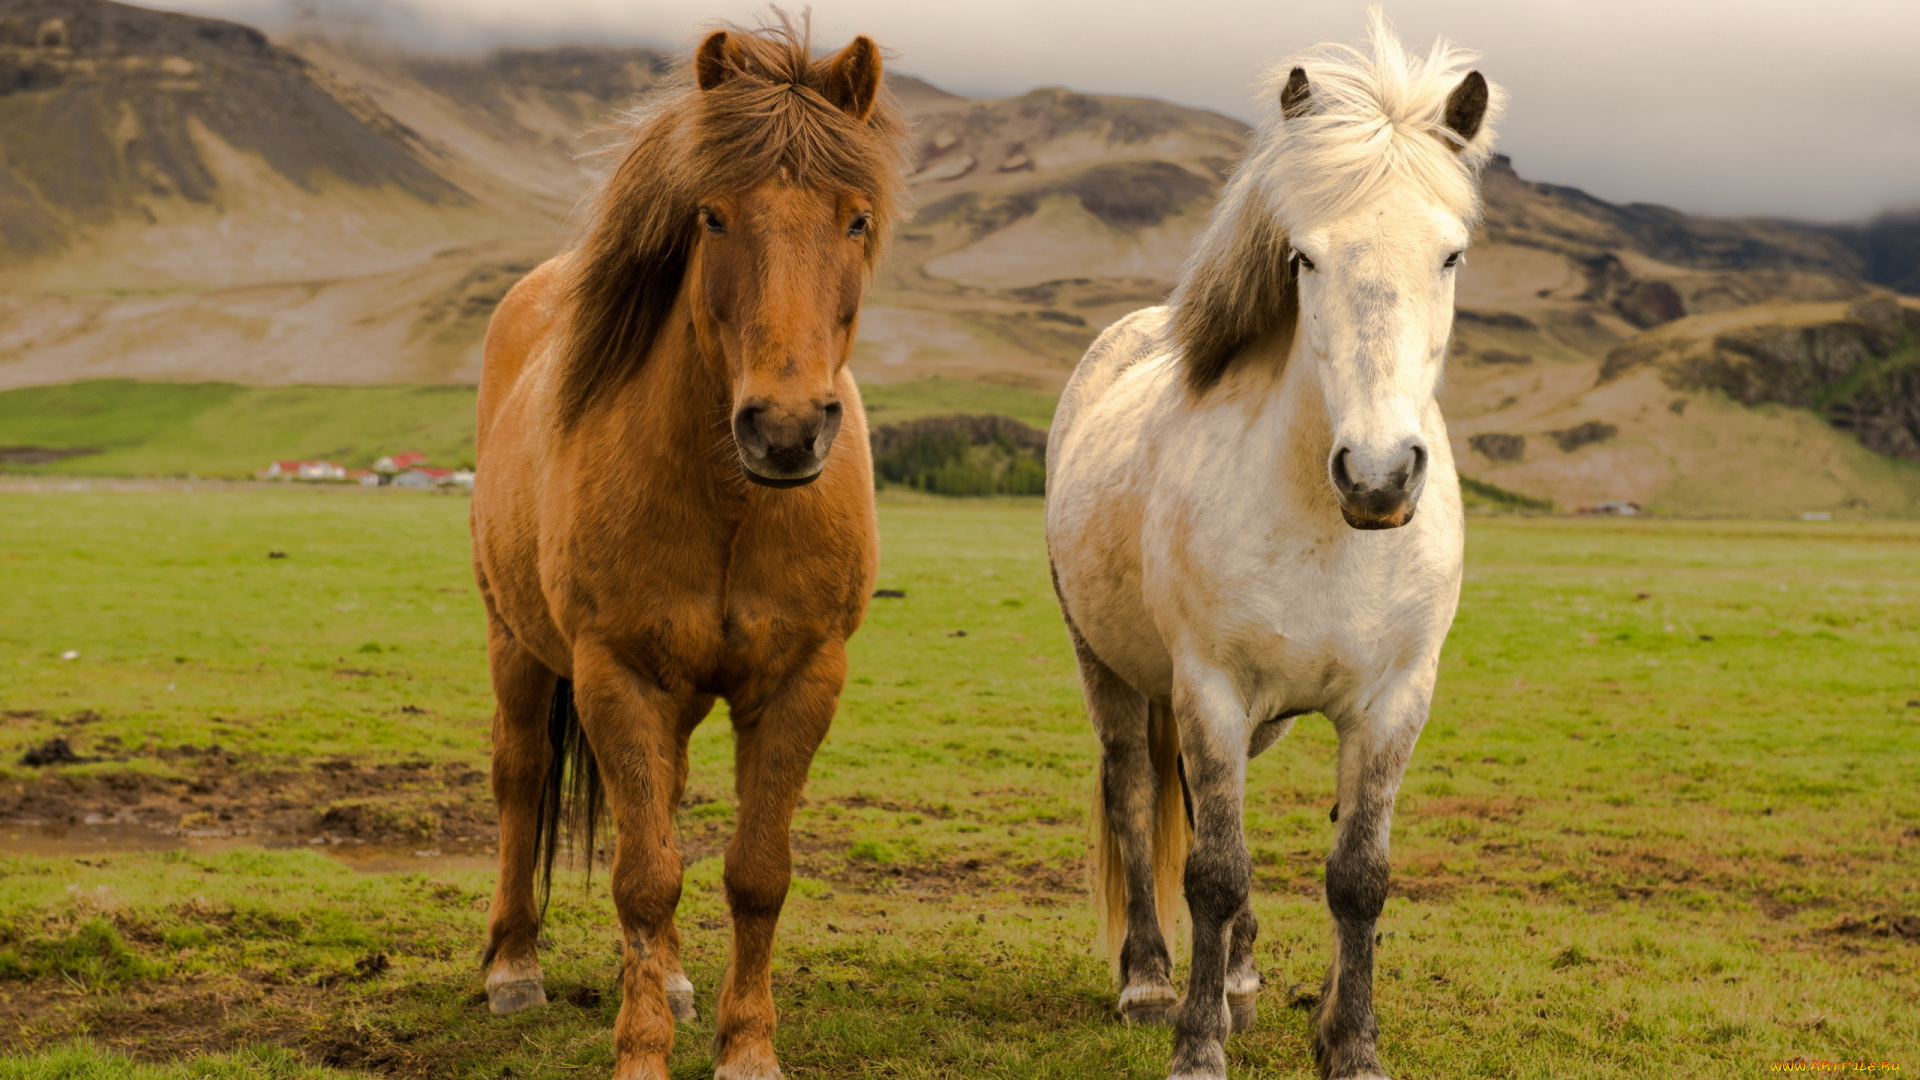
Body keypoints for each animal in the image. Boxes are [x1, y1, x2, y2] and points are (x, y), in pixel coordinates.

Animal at [468, 20, 907, 1080]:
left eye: (857, 220)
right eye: (711, 216)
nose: (785, 429)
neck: (732, 506)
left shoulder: (801, 678)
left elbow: (754, 873)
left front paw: (746, 1046)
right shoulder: (615, 672)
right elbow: (642, 876)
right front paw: (641, 1053)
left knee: (660, 795)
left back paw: (663, 976)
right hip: (516, 642)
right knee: (520, 779)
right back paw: (514, 968)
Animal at [1046, 17, 1501, 1080]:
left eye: (1451, 256)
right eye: (1303, 260)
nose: (1378, 474)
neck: (1330, 533)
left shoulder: (1393, 703)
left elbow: (1359, 875)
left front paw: (1350, 1043)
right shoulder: (1208, 688)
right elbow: (1213, 868)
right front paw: (1197, 1043)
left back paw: (1244, 978)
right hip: (1111, 670)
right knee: (1135, 794)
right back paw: (1150, 981)